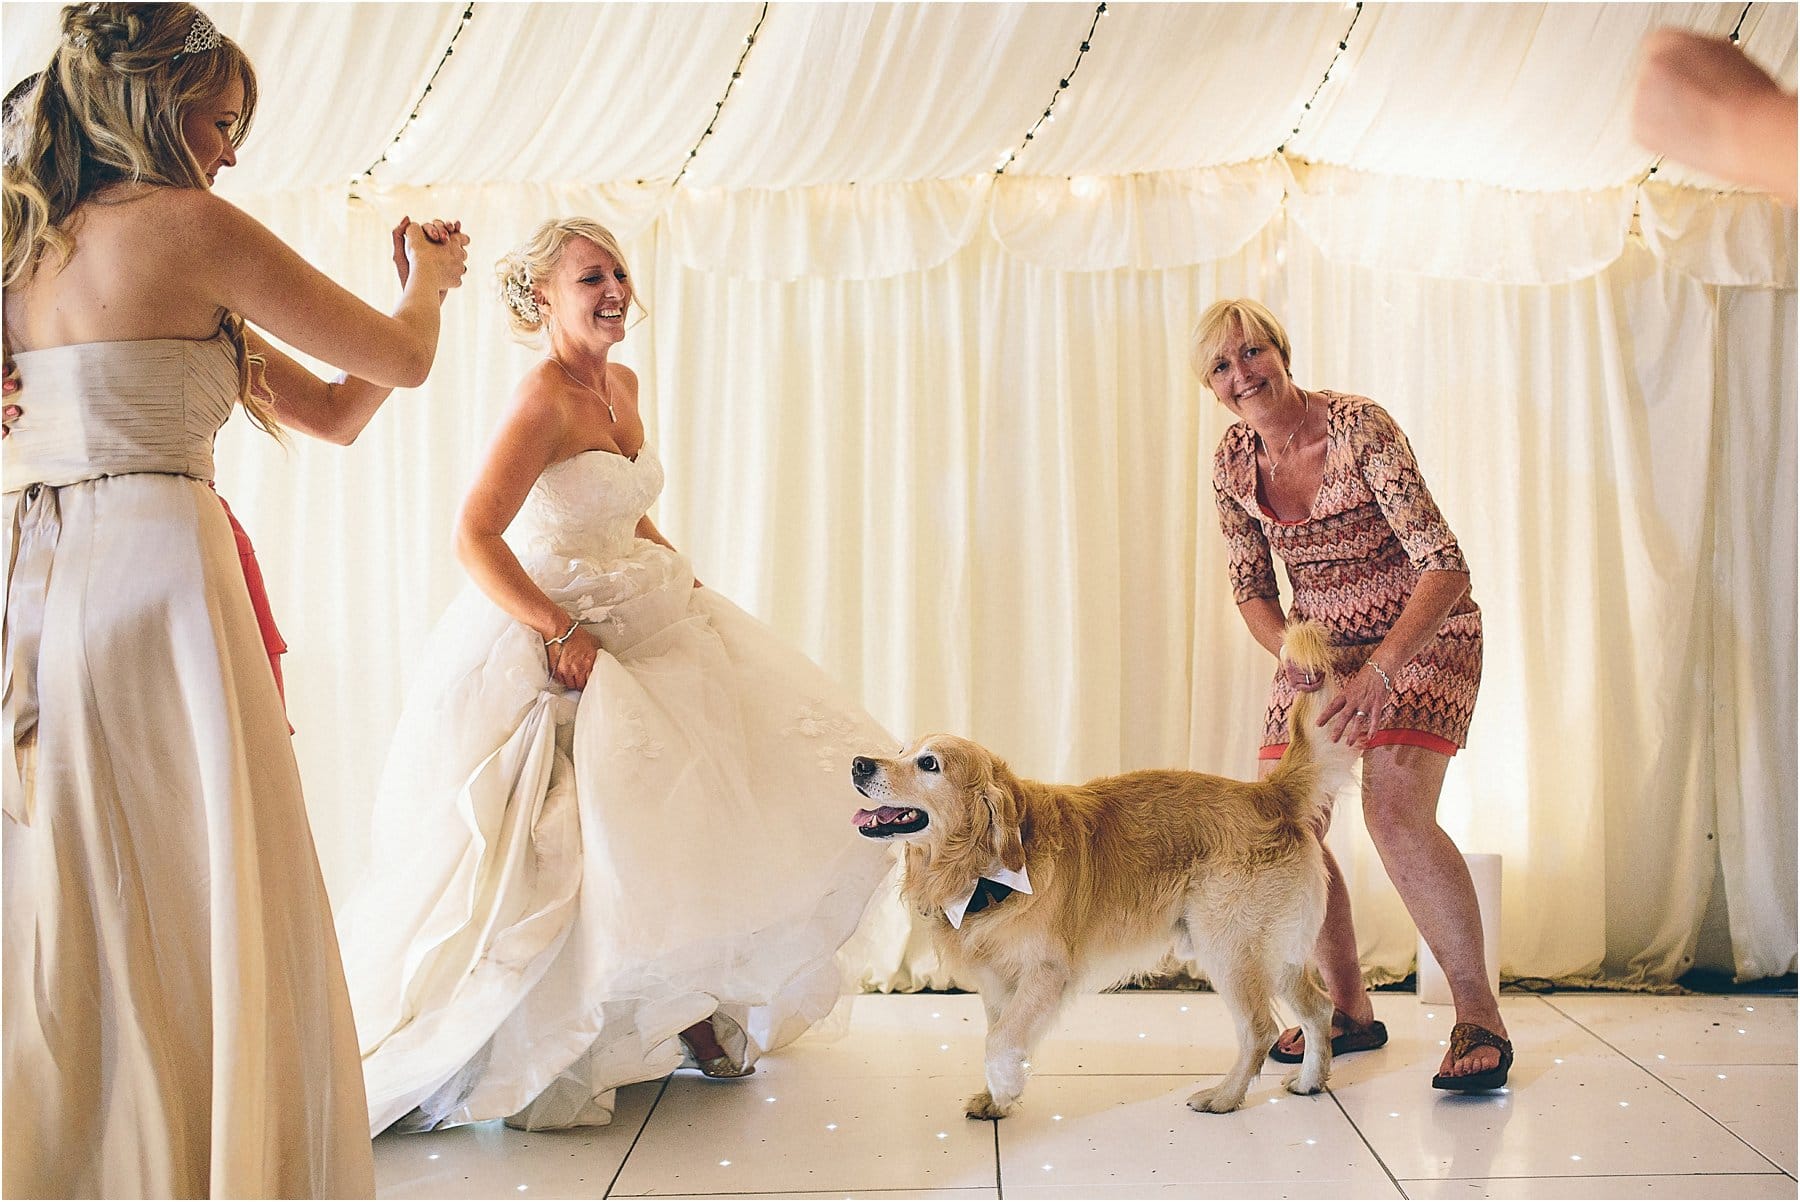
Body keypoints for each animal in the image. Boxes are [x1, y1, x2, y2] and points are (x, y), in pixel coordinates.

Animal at [849, 626, 1353, 1122]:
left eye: (928, 764)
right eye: (902, 750)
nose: (859, 763)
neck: (980, 869)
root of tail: (1269, 794)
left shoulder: (1046, 970)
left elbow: (998, 1040)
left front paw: (1005, 1084)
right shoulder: (996, 980)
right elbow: (1000, 1032)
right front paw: (999, 1098)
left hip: (1228, 946)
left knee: (1259, 1029)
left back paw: (1224, 1097)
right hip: (1276, 951)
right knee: (1319, 1006)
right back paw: (1310, 1080)